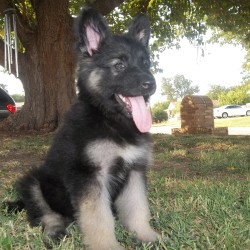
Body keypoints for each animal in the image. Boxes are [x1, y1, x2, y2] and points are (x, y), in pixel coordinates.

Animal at [9, 6, 158, 249]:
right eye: (119, 65)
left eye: (146, 64)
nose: (151, 84)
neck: (109, 118)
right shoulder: (89, 176)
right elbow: (99, 218)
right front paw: (107, 246)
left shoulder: (134, 171)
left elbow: (138, 208)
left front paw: (146, 235)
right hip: (33, 181)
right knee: (45, 213)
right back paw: (54, 230)